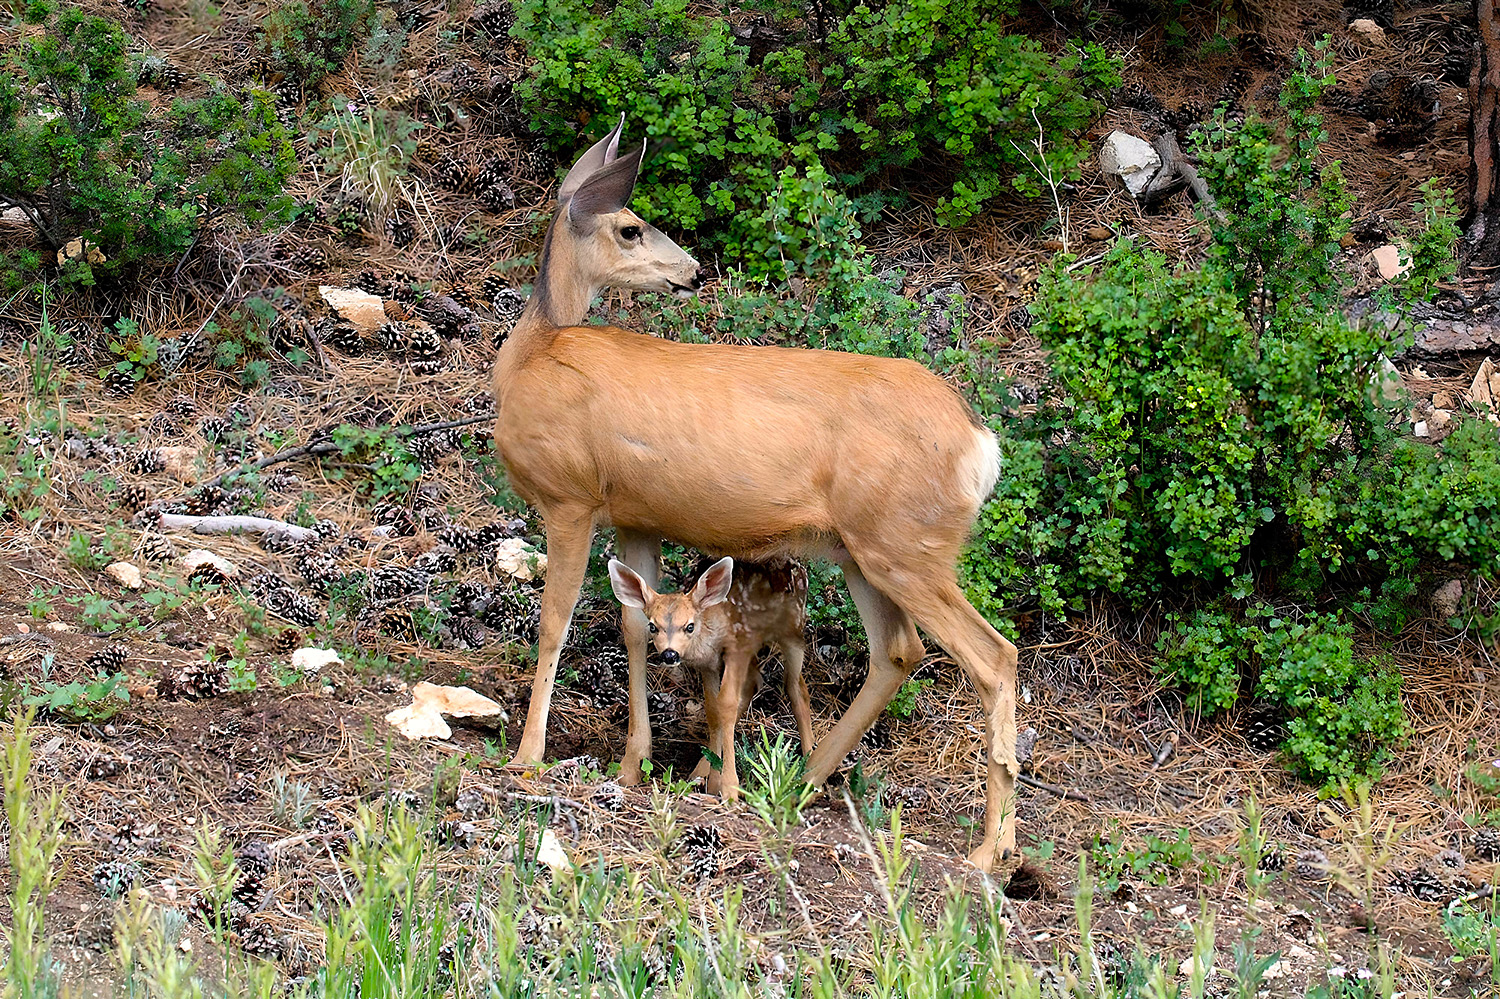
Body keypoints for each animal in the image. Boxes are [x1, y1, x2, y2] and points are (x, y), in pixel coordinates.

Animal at [607, 555, 812, 801]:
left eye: (689, 626)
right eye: (652, 627)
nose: (669, 654)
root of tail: (800, 567)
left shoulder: (739, 645)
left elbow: (727, 704)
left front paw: (730, 788)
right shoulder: (709, 664)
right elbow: (714, 711)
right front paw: (714, 781)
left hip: (793, 628)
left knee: (796, 687)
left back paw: (810, 768)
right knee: (755, 683)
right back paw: (701, 769)